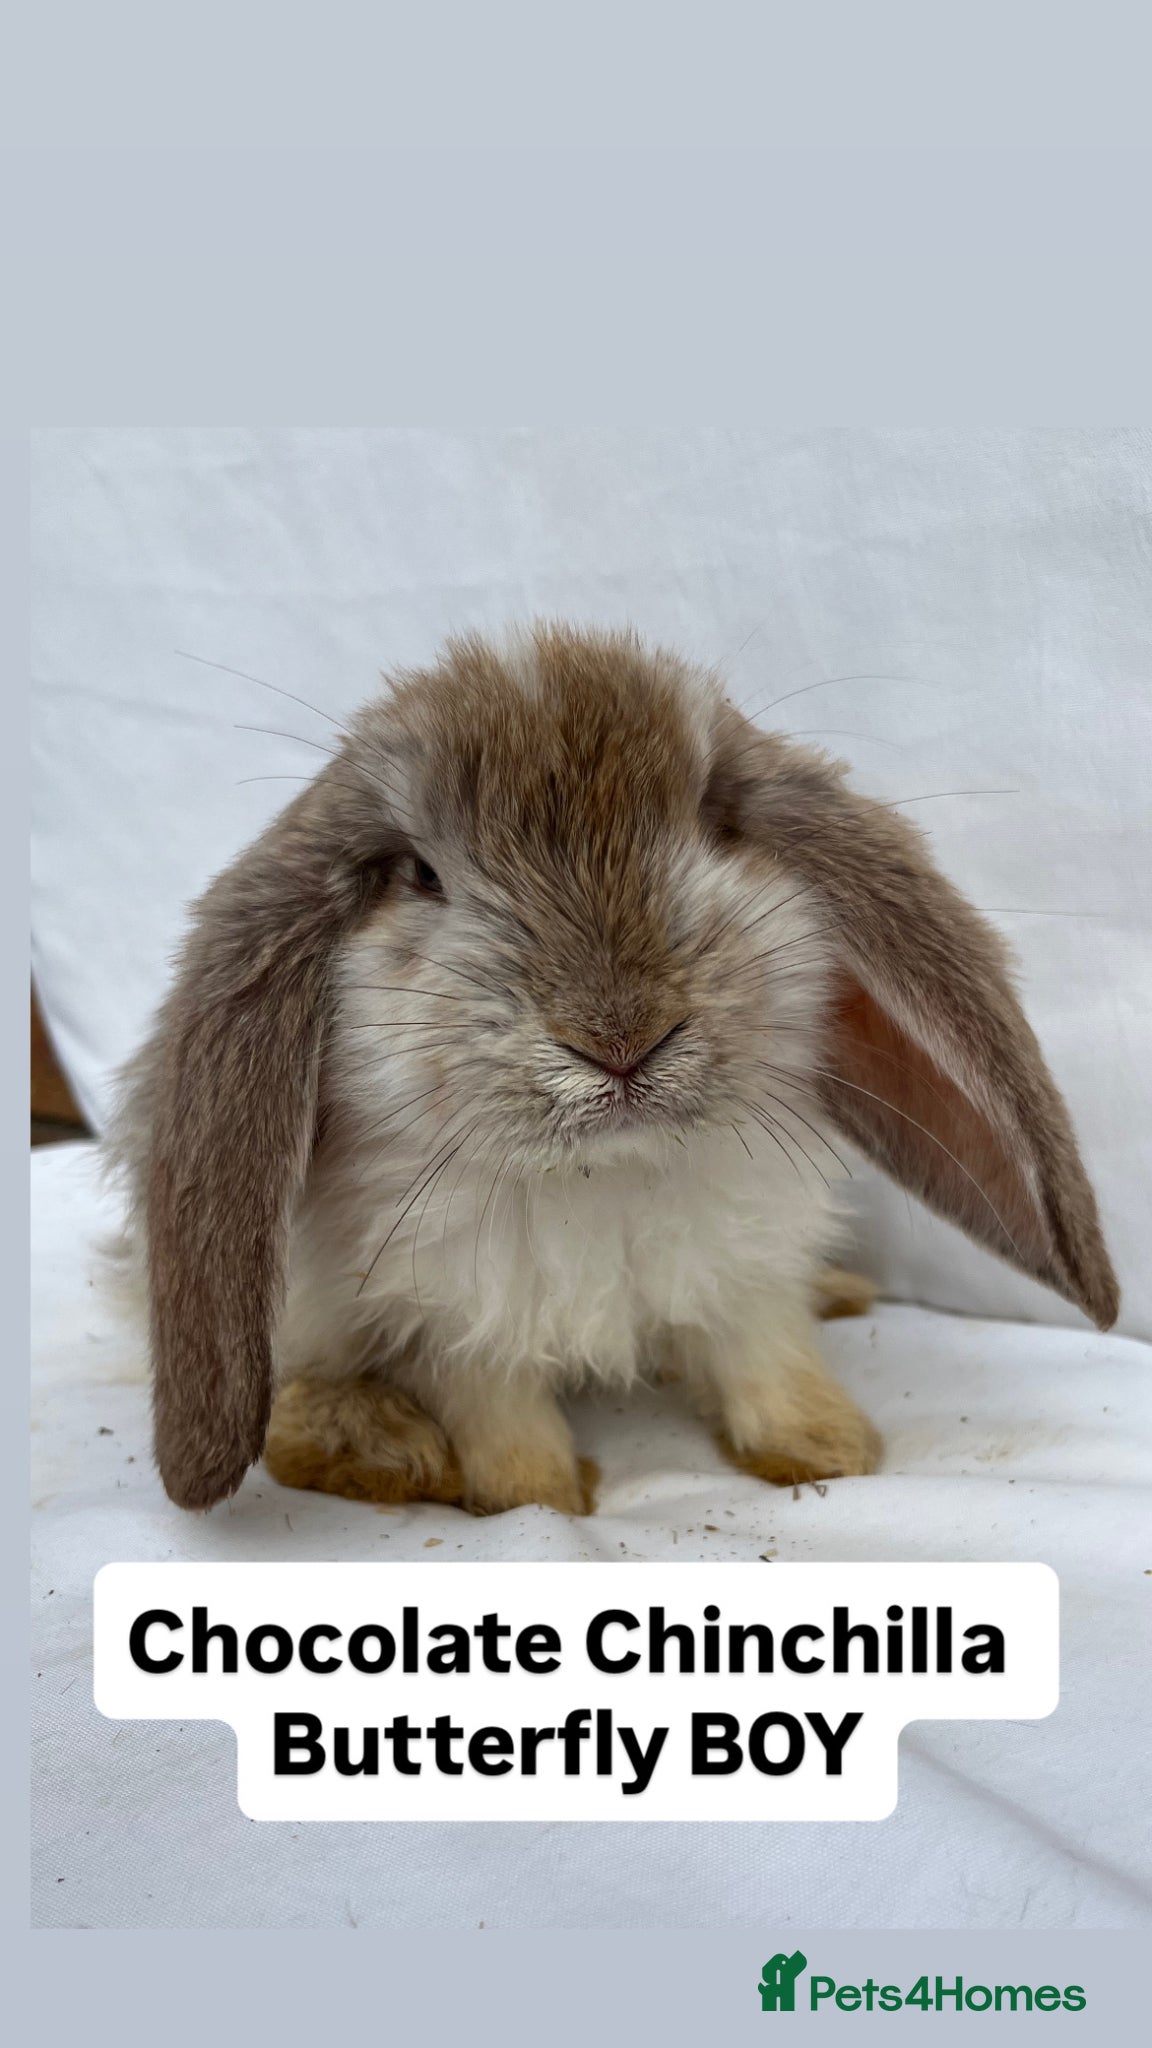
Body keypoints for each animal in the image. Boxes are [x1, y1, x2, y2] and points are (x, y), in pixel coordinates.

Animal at [111, 622, 1118, 1515]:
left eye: (716, 824)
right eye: (421, 875)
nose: (621, 1038)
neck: (605, 1171)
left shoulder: (743, 1272)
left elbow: (769, 1359)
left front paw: (828, 1451)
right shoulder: (454, 1320)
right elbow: (503, 1422)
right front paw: (541, 1503)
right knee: (294, 1404)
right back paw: (382, 1451)